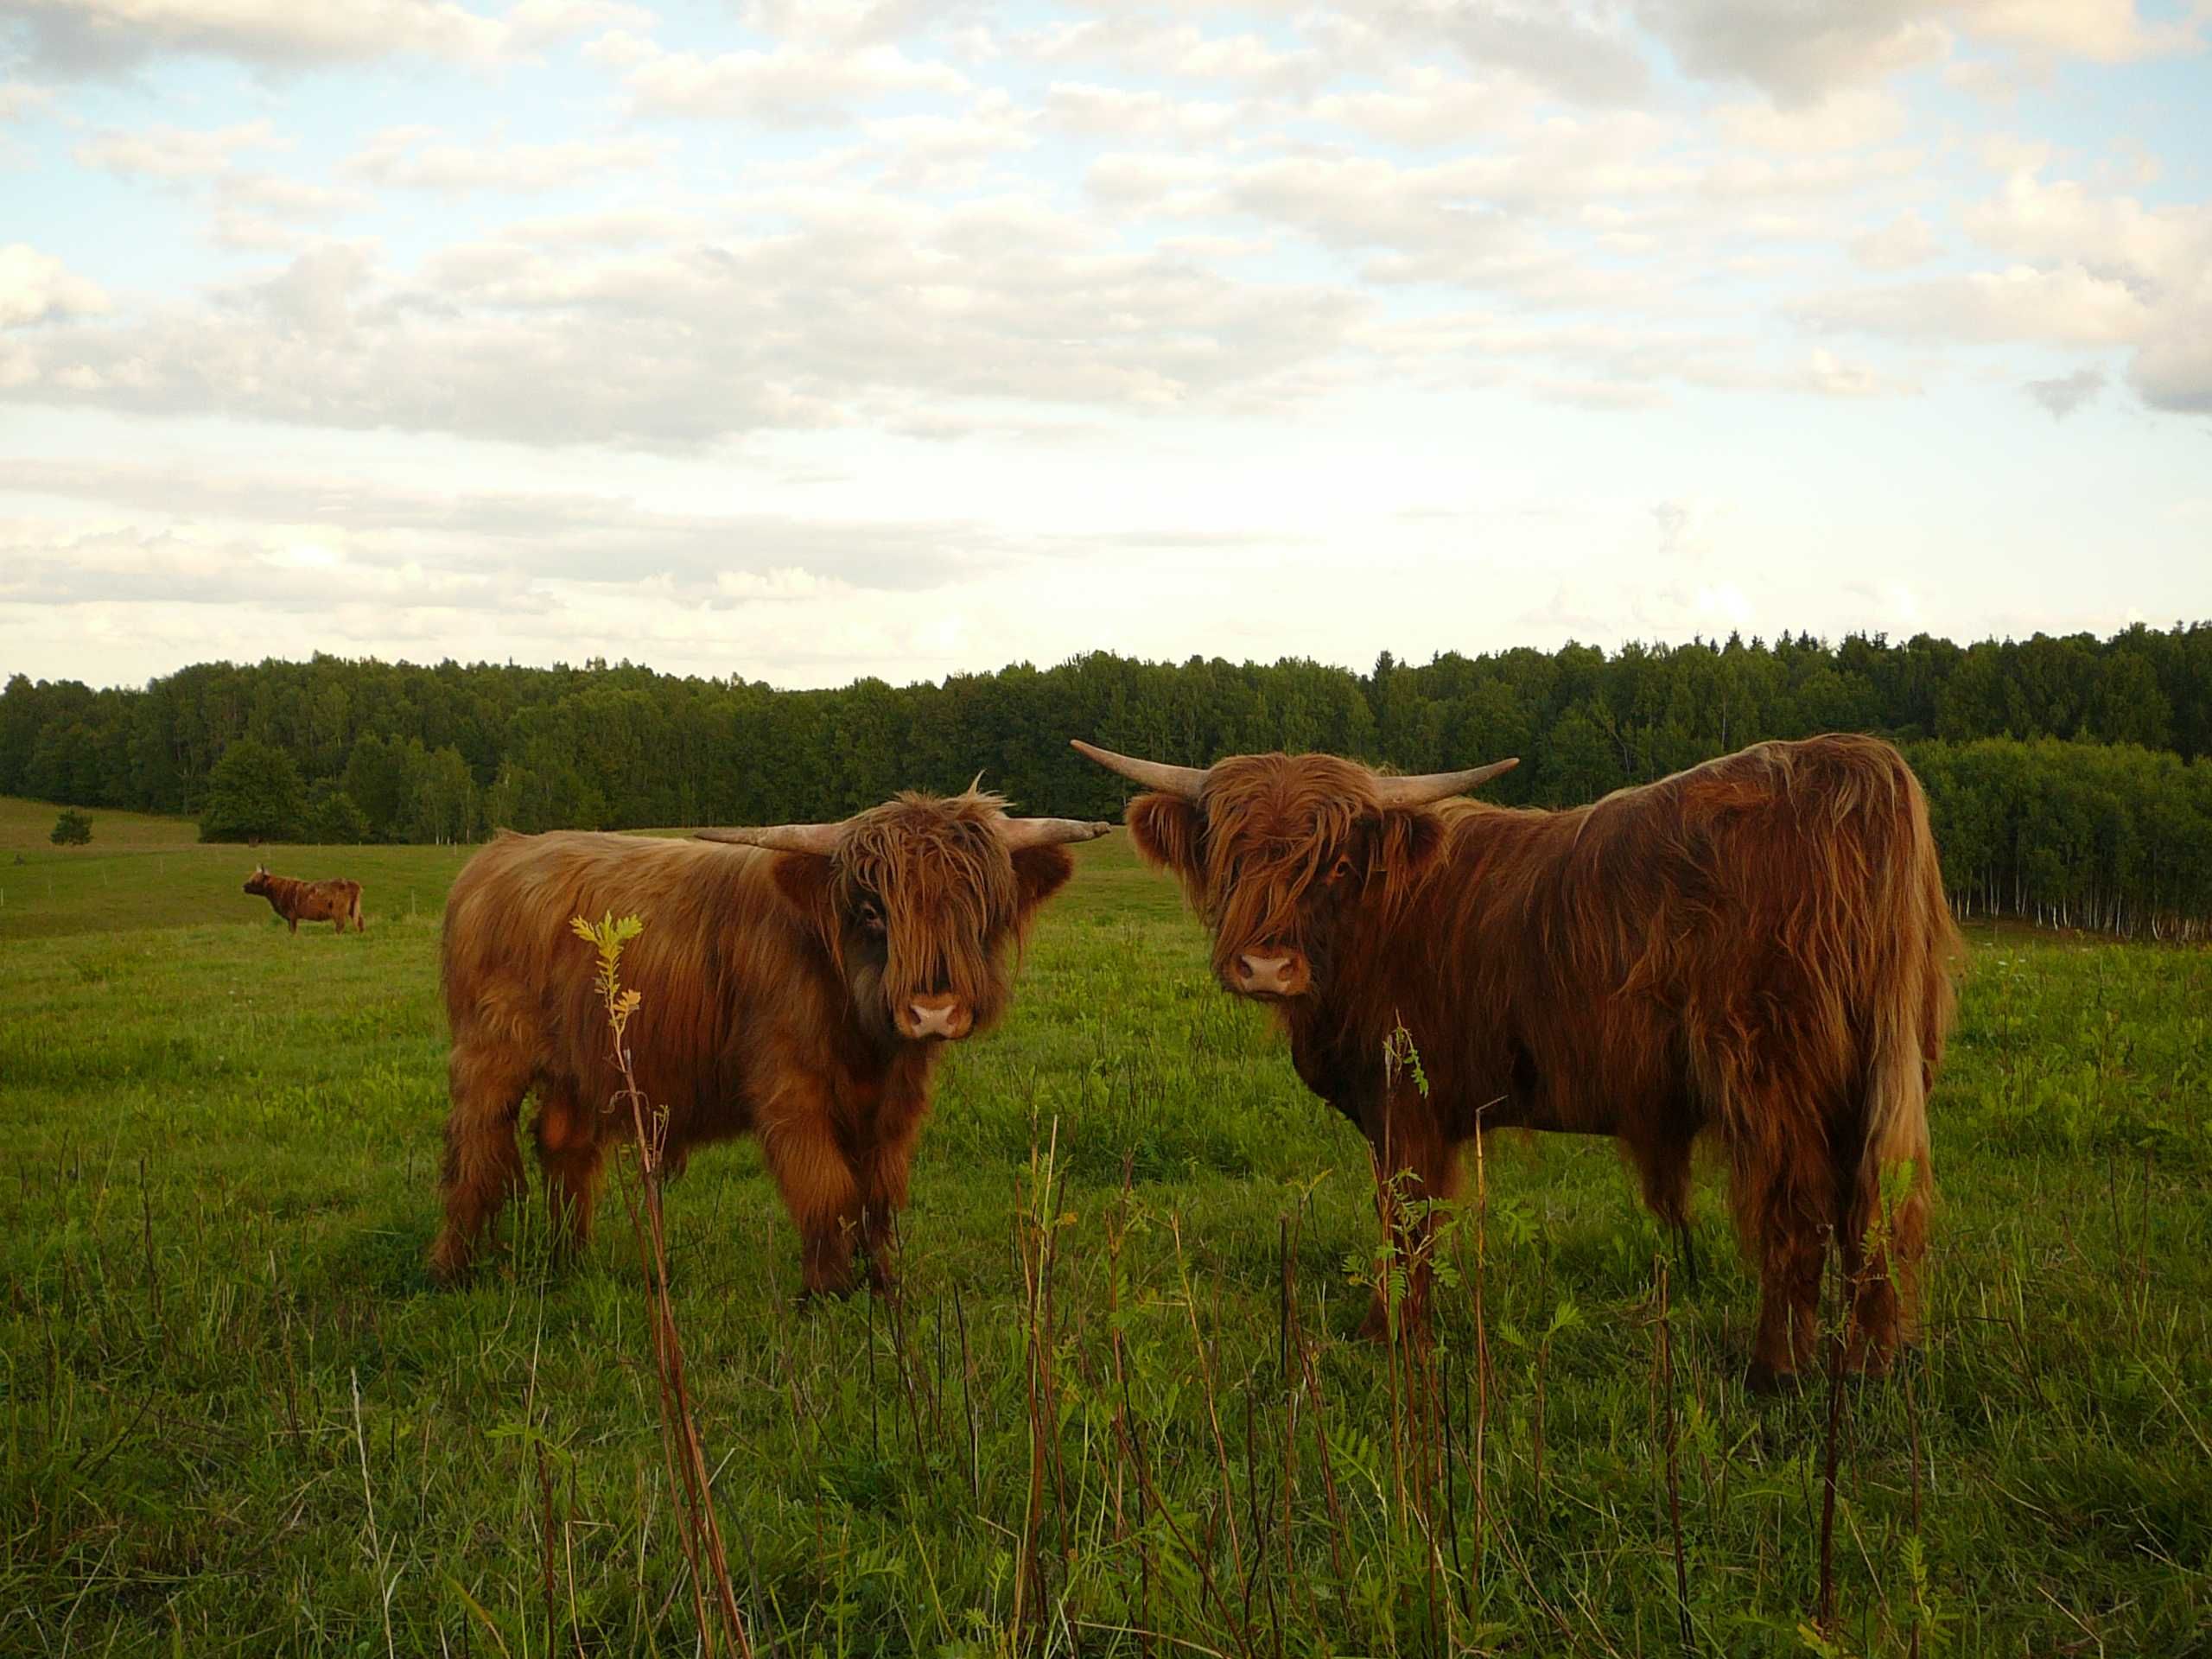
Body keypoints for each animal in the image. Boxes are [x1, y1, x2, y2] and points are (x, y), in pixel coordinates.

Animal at [244, 871, 365, 938]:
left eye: (255, 880)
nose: (244, 886)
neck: (277, 889)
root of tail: (352, 882)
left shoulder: (291, 915)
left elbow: (292, 929)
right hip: (353, 908)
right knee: (360, 920)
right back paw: (361, 934)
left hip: (338, 910)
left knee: (340, 924)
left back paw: (336, 936)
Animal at [433, 791, 1115, 1300]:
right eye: (872, 912)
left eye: (978, 911)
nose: (933, 1011)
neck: (863, 1039)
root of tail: (499, 853)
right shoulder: (790, 1087)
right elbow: (827, 1186)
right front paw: (827, 1290)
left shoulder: (896, 1101)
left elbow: (879, 1192)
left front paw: (883, 1282)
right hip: (491, 1052)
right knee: (473, 1152)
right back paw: (452, 1272)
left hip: (578, 1062)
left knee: (564, 1145)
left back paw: (571, 1261)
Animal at [1079, 734, 1964, 1397]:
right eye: (1230, 855)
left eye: (1333, 864)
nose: (1265, 968)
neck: (1371, 924)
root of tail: (1843, 762)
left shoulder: (1403, 1100)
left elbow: (1404, 1219)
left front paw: (1388, 1336)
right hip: (1879, 1070)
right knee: (1872, 1204)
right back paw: (1869, 1364)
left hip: (1771, 1069)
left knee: (1799, 1209)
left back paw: (1775, 1371)